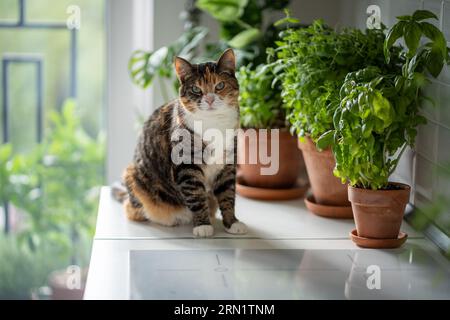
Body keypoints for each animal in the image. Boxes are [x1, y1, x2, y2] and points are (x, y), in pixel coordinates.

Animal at [111, 48, 246, 238]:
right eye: (196, 89)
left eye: (220, 85)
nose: (210, 99)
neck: (213, 124)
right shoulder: (186, 163)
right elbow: (196, 194)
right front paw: (203, 225)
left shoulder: (228, 163)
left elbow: (228, 195)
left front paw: (232, 223)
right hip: (133, 175)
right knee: (131, 209)